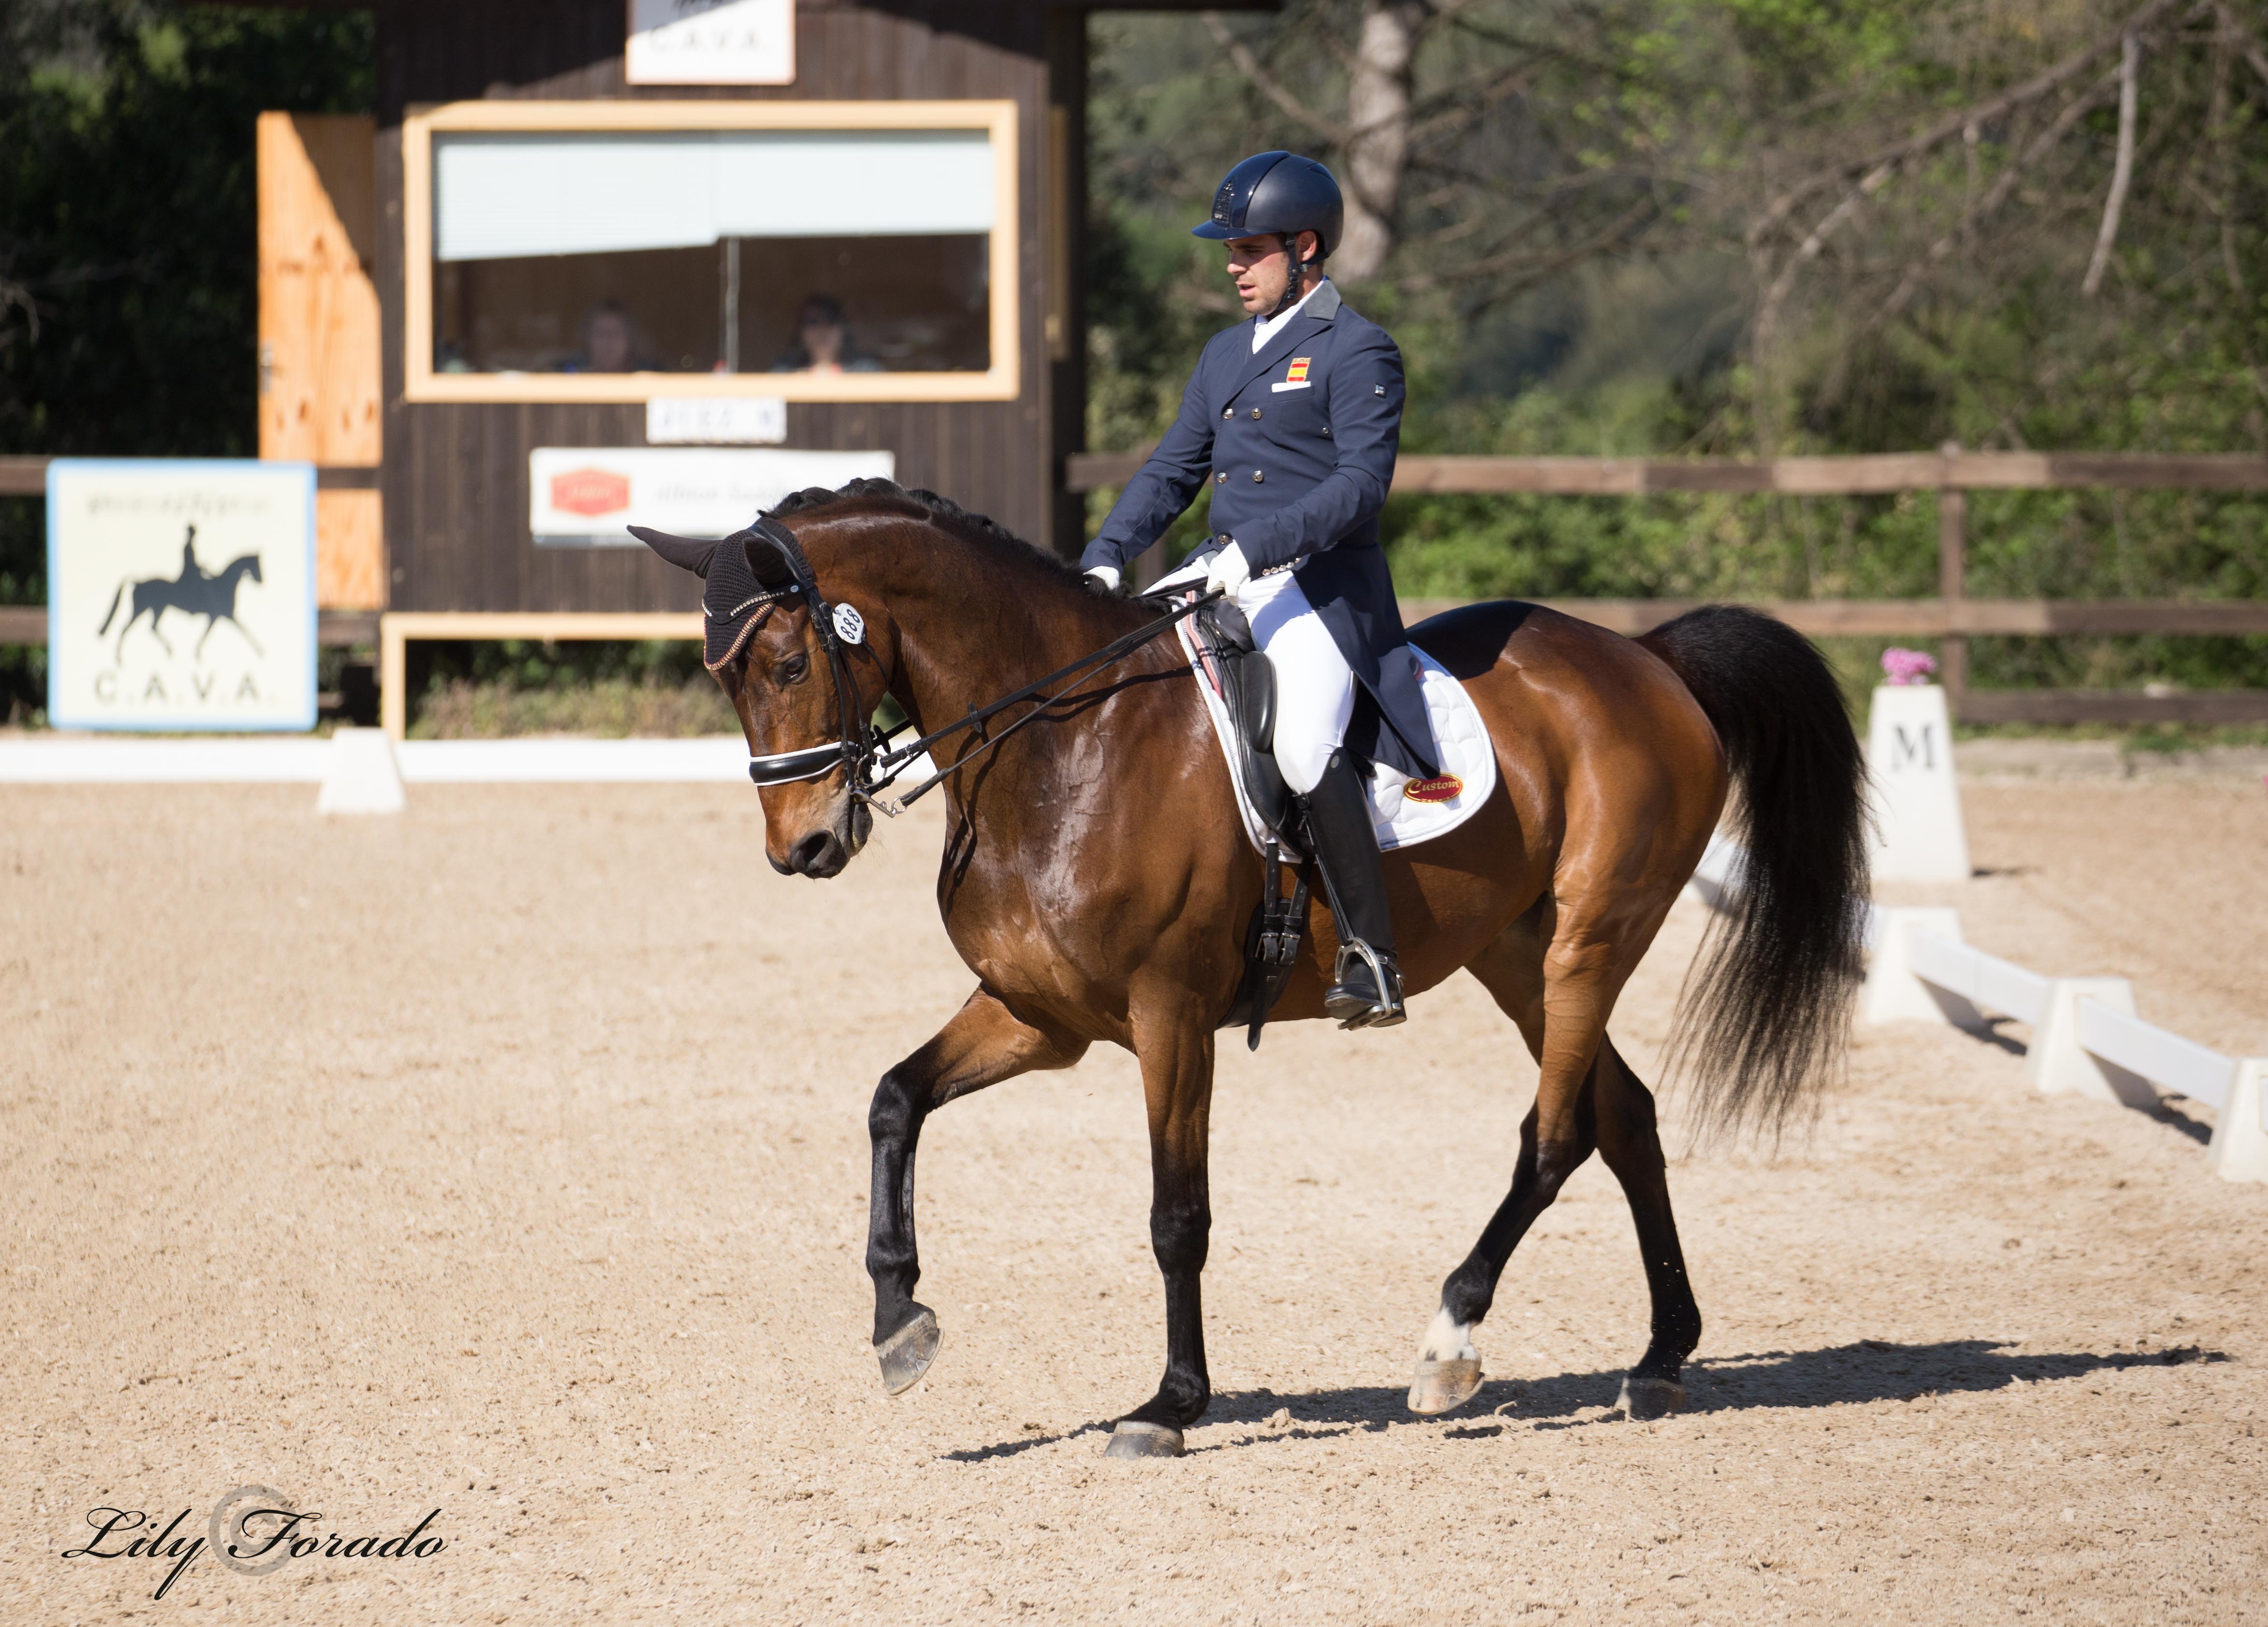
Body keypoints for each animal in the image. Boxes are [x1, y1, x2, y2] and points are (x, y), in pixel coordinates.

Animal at [639, 476, 1860, 1452]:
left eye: (787, 660)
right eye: (722, 676)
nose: (802, 847)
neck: (1063, 739)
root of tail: (1644, 657)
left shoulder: (1169, 1014)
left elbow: (1177, 1213)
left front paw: (1170, 1404)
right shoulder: (1041, 1015)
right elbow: (894, 1101)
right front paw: (900, 1321)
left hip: (1589, 939)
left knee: (1556, 1135)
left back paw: (1449, 1341)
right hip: (1517, 958)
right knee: (1626, 1115)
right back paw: (1660, 1358)